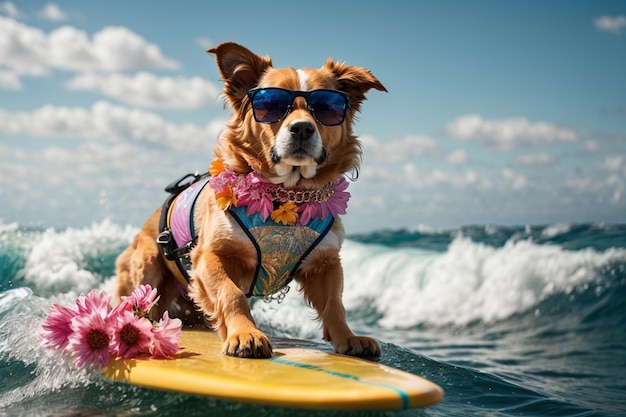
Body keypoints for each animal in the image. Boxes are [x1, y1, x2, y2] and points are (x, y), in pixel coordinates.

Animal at [113, 41, 386, 358]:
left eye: (327, 107)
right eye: (271, 105)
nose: (302, 128)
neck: (287, 197)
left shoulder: (327, 263)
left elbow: (335, 304)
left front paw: (348, 337)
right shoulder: (208, 256)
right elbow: (231, 294)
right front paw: (246, 334)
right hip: (146, 268)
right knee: (141, 302)